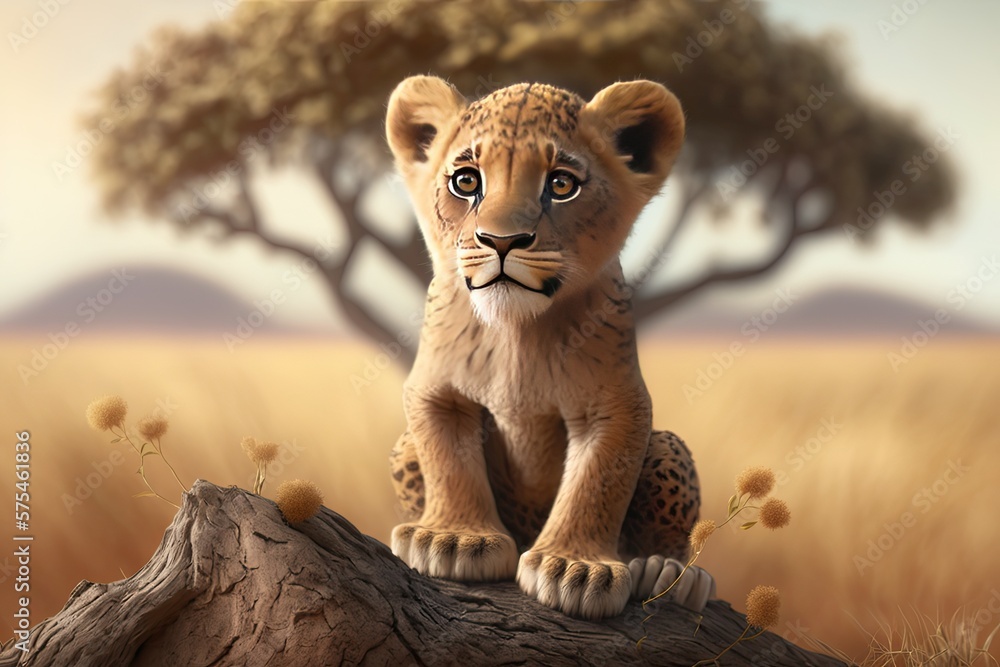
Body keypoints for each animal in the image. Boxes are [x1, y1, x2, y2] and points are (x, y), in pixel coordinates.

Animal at [384, 75, 714, 620]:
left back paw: (671, 575)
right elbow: (448, 461)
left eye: (561, 184)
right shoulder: (435, 390)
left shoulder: (615, 404)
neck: (517, 333)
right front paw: (454, 539)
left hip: (667, 447)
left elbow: (595, 484)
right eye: (466, 182)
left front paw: (574, 568)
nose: (502, 241)